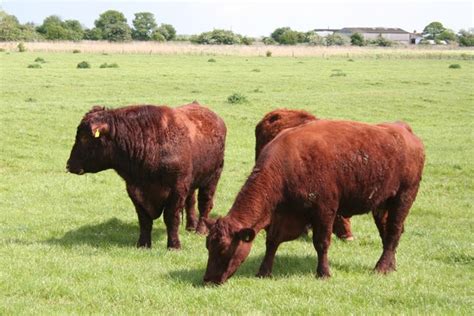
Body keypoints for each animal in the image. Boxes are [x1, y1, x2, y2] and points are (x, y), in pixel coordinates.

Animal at [67, 102, 228, 248]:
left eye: (84, 137)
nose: (69, 165)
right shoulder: (135, 190)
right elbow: (144, 219)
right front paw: (143, 244)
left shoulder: (177, 190)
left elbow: (171, 218)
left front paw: (174, 245)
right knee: (191, 201)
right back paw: (190, 226)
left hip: (212, 177)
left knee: (204, 204)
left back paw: (200, 230)